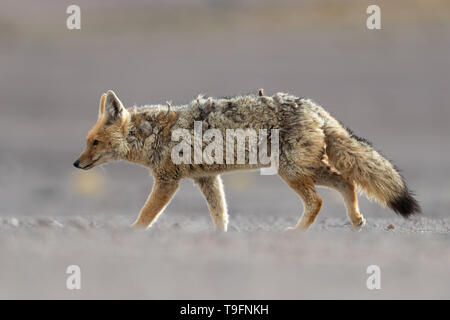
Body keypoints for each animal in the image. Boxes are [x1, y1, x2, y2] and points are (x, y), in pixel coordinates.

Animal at [72, 89, 420, 231]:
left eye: (94, 142)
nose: (75, 164)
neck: (153, 132)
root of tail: (315, 108)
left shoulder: (167, 181)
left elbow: (146, 214)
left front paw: (131, 232)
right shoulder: (206, 178)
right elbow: (220, 214)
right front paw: (221, 237)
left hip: (292, 172)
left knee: (318, 200)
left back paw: (297, 232)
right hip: (305, 169)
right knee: (346, 181)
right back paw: (356, 220)